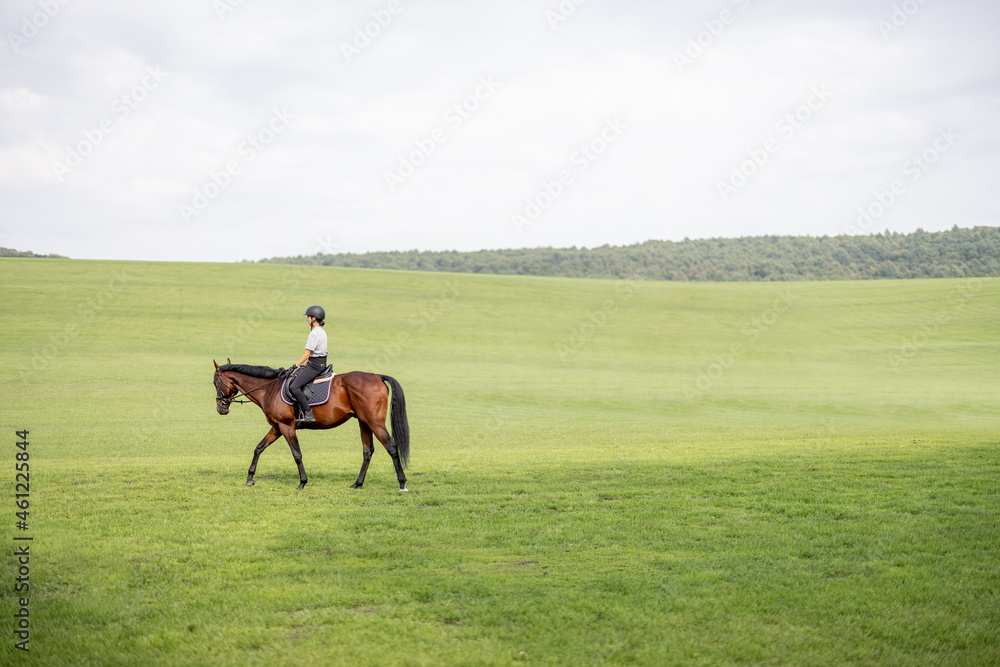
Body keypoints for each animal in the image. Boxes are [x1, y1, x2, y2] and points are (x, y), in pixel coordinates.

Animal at [213, 362, 412, 494]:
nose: (220, 408)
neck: (270, 389)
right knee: (367, 451)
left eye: (216, 383)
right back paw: (357, 484)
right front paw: (250, 478)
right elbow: (259, 448)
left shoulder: (286, 426)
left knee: (391, 447)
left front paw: (302, 482)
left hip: (374, 423)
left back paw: (402, 483)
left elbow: (297, 454)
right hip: (364, 422)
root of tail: (377, 376)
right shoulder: (277, 427)